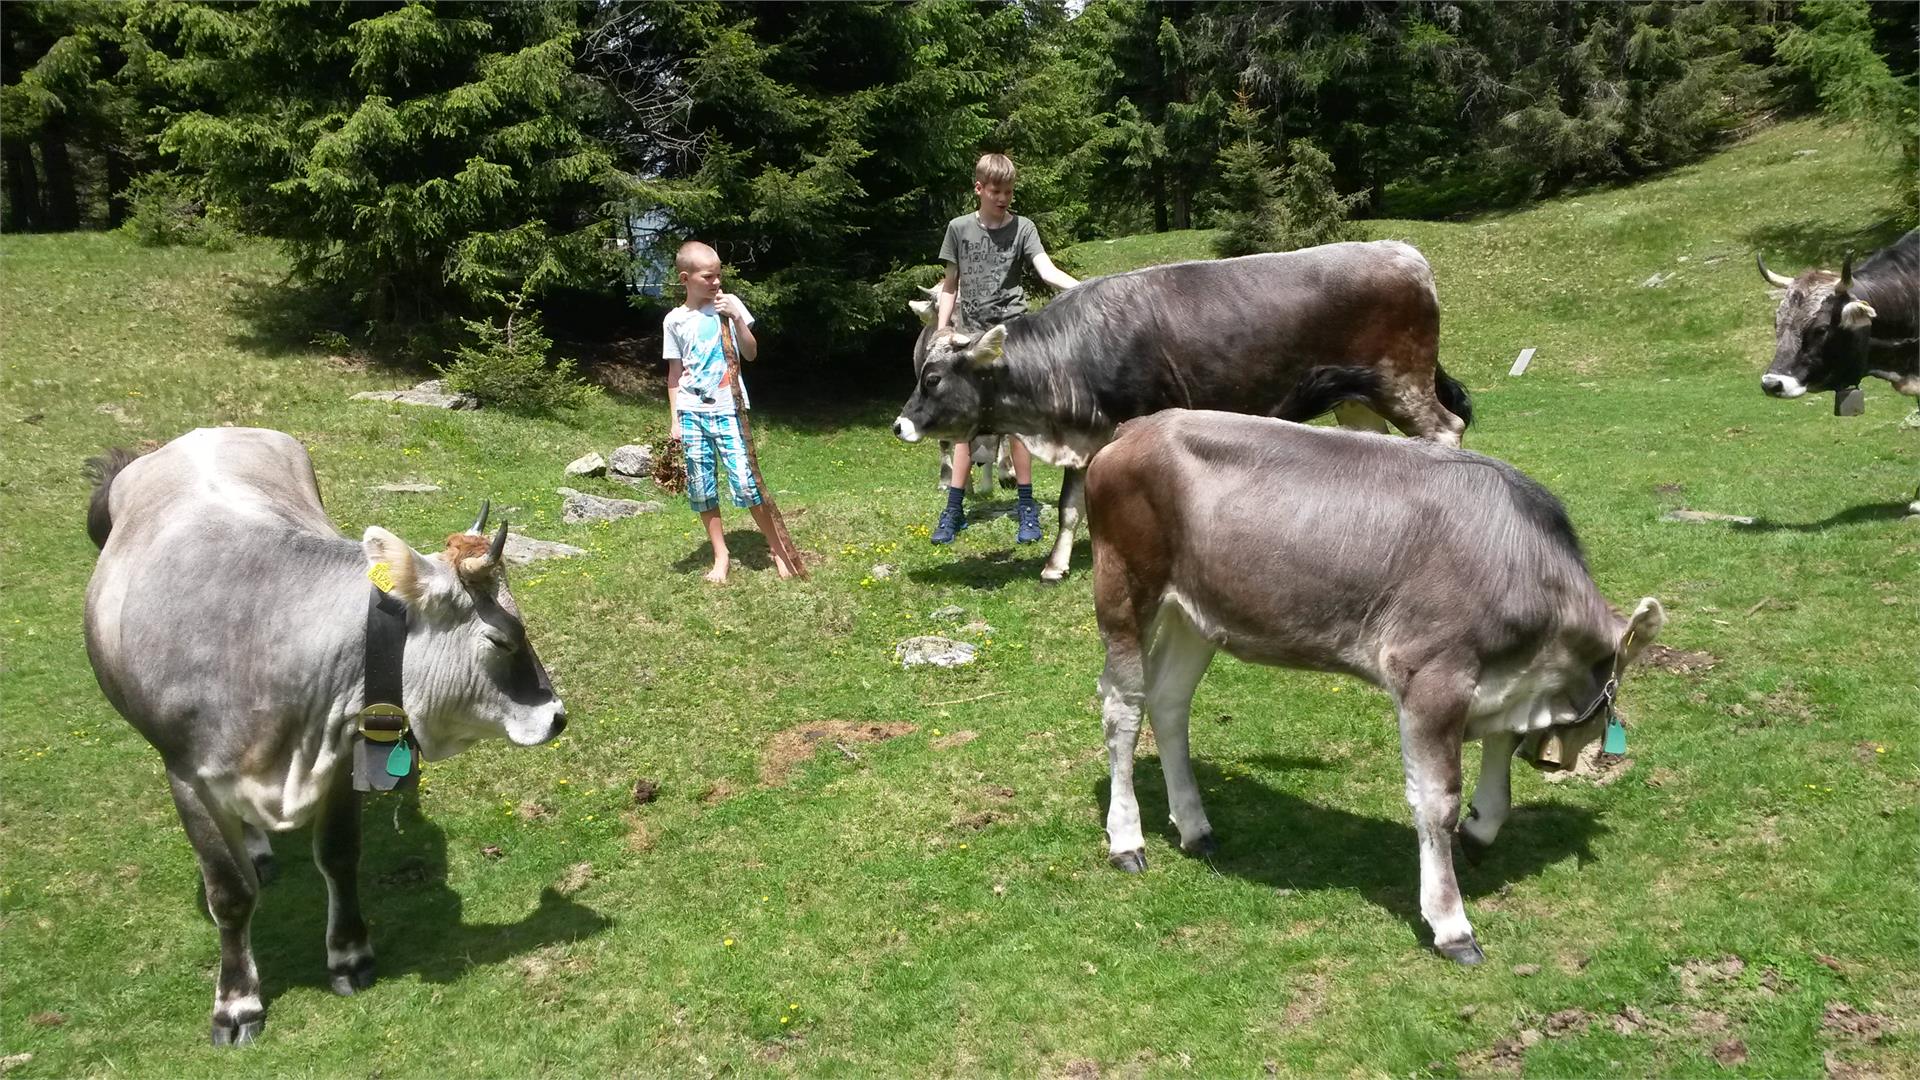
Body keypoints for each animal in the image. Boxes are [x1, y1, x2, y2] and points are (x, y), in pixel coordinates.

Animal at [84, 428, 560, 1045]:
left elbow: (338, 855)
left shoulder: (337, 755)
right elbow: (229, 893)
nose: (557, 716)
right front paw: (237, 1002)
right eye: (502, 639)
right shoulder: (185, 775)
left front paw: (349, 954)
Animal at [894, 239, 1466, 580]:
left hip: (1402, 383)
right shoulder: (1088, 434)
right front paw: (1055, 565)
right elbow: (1070, 506)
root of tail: (1405, 253)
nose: (898, 424)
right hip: (1356, 399)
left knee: (1446, 430)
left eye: (933, 378)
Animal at [1082, 409, 1666, 957]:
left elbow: (1498, 763)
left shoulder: (1500, 682)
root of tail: (1139, 426)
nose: (1559, 762)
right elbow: (1437, 800)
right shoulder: (1431, 675)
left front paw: (1481, 830)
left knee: (1169, 701)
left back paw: (1195, 827)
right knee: (1124, 706)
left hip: (1198, 615)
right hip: (1125, 585)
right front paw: (1451, 924)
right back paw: (1128, 839)